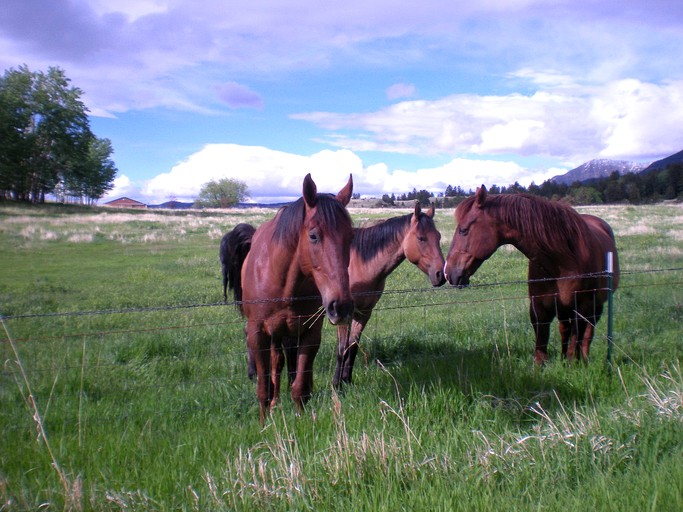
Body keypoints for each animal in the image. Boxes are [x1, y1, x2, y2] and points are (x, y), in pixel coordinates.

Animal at [223, 174, 356, 422]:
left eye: (351, 236)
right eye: (313, 235)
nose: (341, 306)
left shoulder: (309, 333)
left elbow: (300, 386)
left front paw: (301, 419)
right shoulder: (258, 335)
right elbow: (264, 388)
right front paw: (264, 423)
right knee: (275, 366)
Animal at [332, 202, 448, 386]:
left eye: (438, 236)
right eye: (421, 238)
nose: (441, 275)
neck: (358, 264)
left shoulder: (364, 312)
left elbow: (353, 347)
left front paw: (347, 381)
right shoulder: (344, 315)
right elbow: (342, 349)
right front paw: (336, 386)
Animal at [444, 186, 620, 366]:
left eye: (463, 230)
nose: (448, 272)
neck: (563, 263)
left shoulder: (583, 307)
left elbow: (575, 344)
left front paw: (574, 364)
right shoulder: (539, 308)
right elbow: (541, 351)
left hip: (595, 305)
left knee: (587, 334)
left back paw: (584, 359)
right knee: (564, 330)